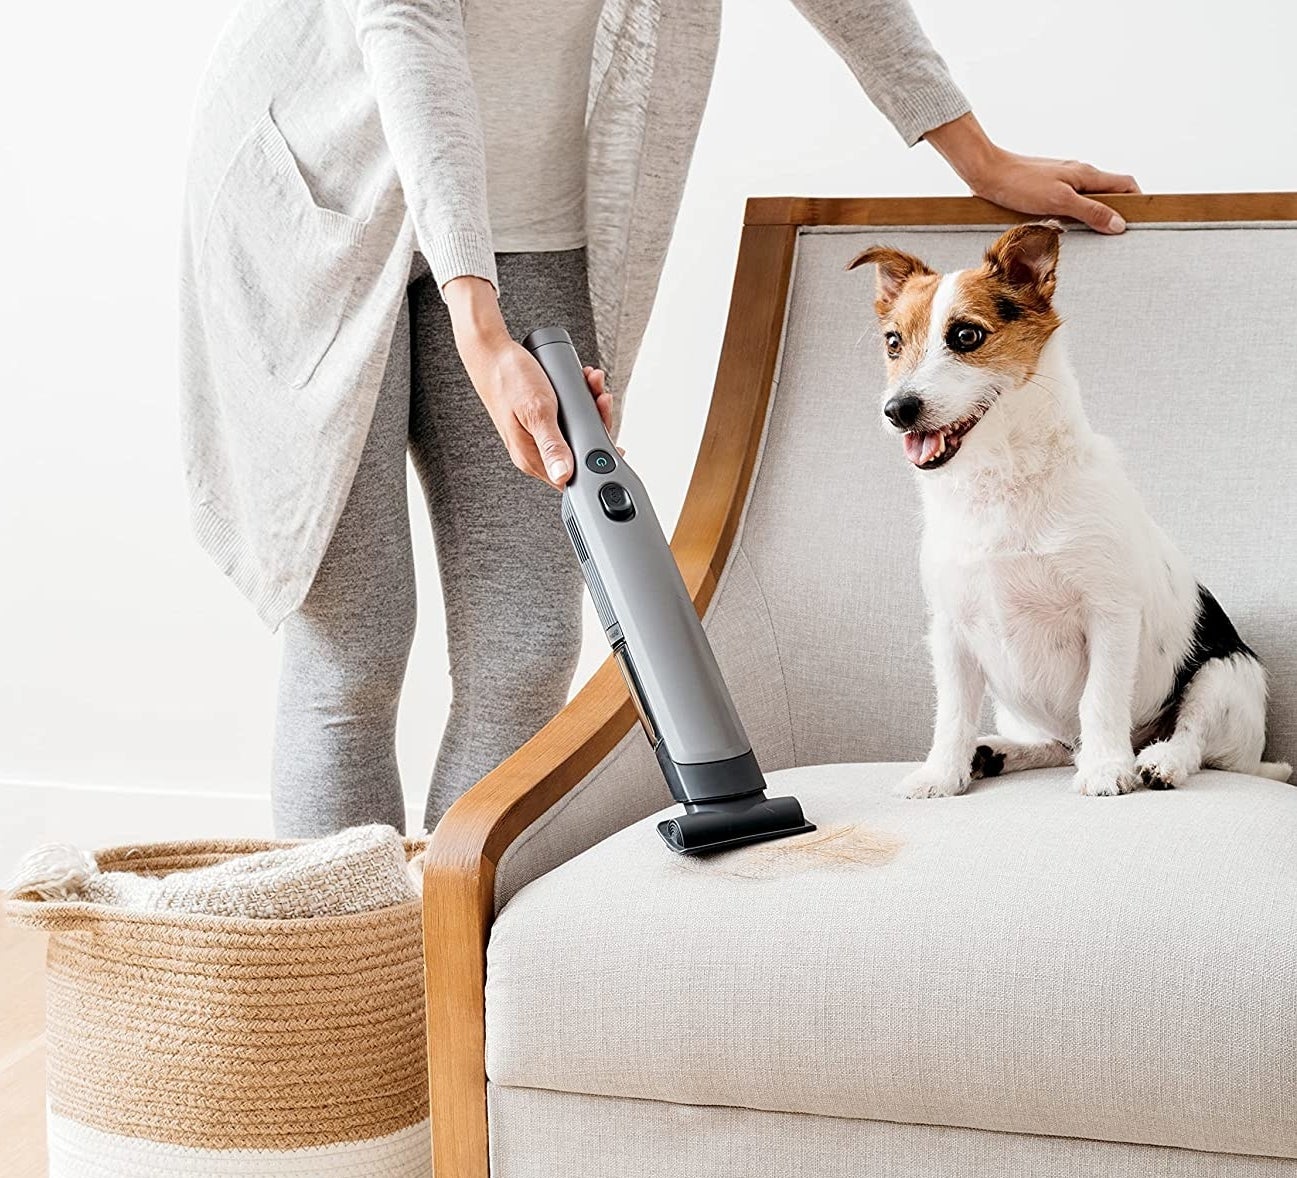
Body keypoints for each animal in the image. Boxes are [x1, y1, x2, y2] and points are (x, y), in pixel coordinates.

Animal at [850, 220, 1286, 793]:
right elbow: (952, 715)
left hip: (1226, 675)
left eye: (966, 336)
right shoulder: (950, 632)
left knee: (1194, 739)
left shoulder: (1110, 615)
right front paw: (942, 774)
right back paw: (994, 752)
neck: (1001, 482)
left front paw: (1105, 769)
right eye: (893, 342)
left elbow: (1100, 700)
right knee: (1057, 744)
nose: (898, 409)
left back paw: (1158, 761)